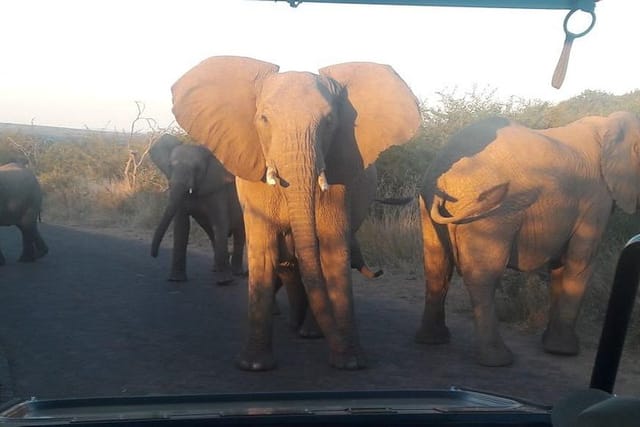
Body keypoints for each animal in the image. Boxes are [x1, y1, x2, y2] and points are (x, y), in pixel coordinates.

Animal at [151, 135, 248, 286]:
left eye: (197, 169)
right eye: (170, 167)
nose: (154, 255)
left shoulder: (218, 190)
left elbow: (220, 223)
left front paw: (224, 282)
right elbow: (181, 226)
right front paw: (176, 280)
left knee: (239, 232)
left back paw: (236, 273)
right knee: (211, 232)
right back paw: (216, 269)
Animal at [171, 56, 420, 372]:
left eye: (330, 121)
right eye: (264, 119)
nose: (346, 351)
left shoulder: (339, 179)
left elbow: (331, 250)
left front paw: (350, 362)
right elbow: (264, 249)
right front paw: (254, 366)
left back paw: (311, 333)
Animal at [418, 113, 640, 368]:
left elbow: (560, 267)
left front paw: (551, 346)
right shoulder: (596, 199)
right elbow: (581, 262)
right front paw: (565, 352)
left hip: (428, 201)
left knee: (436, 265)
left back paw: (433, 340)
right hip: (492, 214)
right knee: (484, 277)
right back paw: (498, 359)